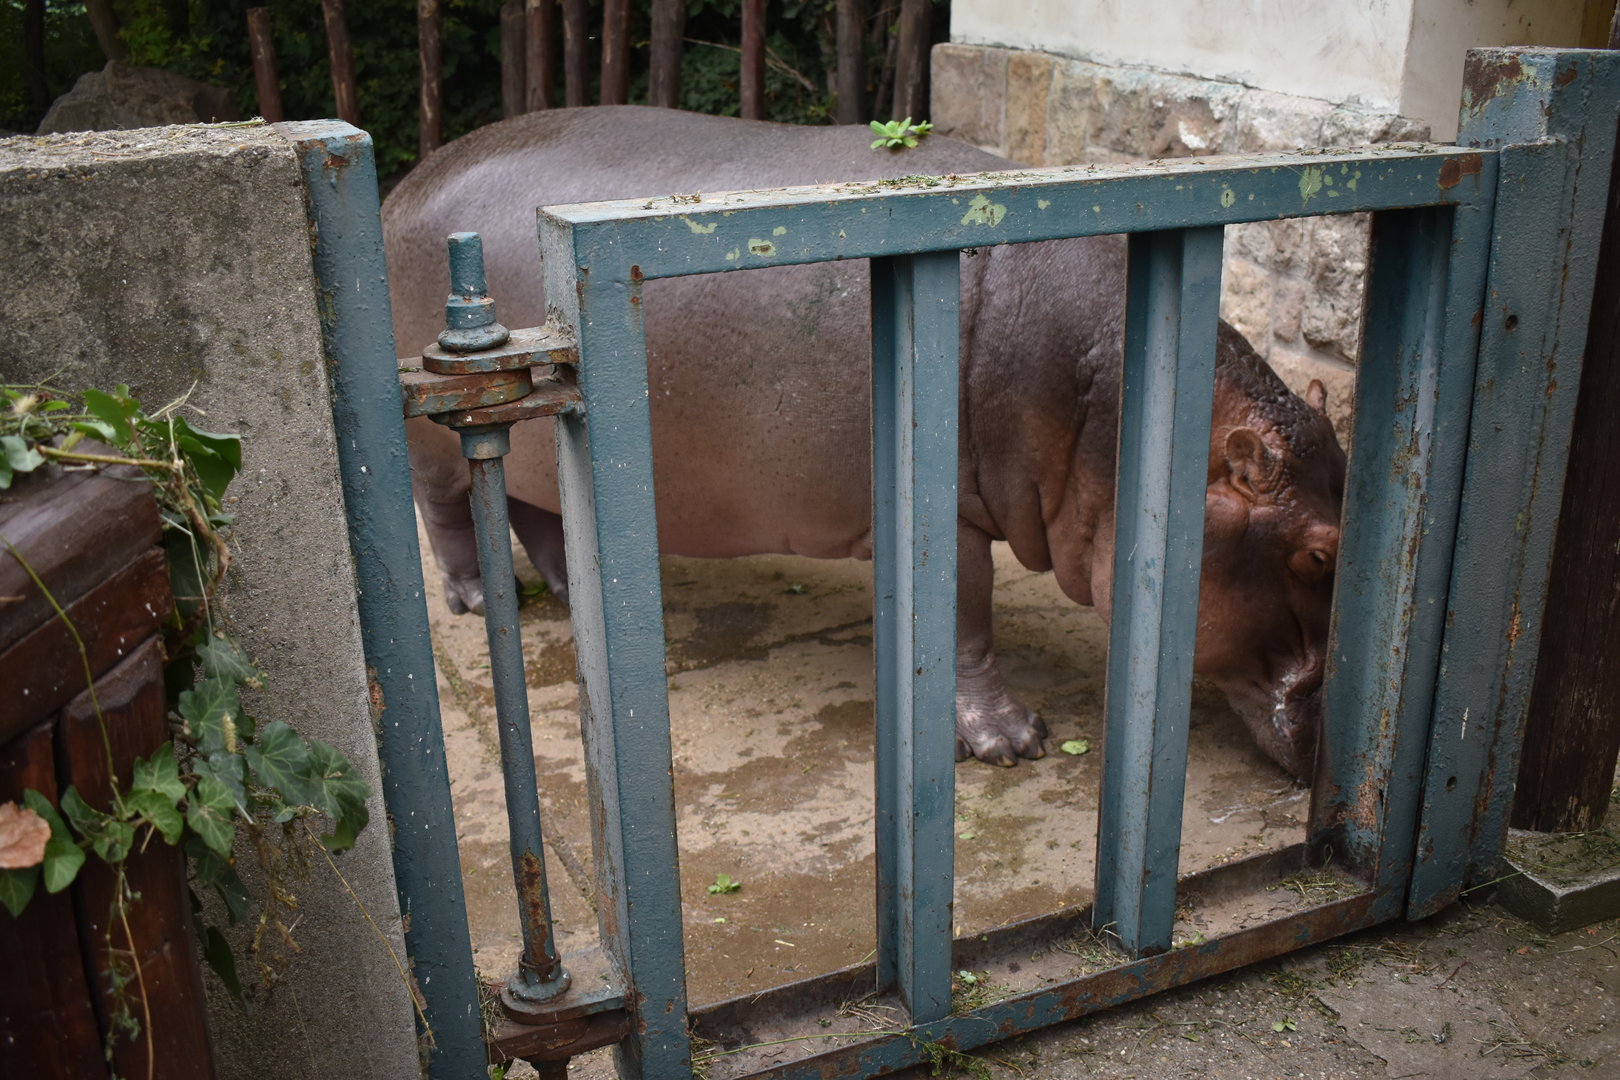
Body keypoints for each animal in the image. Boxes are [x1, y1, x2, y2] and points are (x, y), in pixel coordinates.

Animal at [382, 106, 1346, 779]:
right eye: (1322, 554)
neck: (1121, 395)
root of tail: (404, 185)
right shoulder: (947, 517)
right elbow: (965, 627)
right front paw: (1013, 744)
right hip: (442, 438)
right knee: (445, 514)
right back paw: (485, 599)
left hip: (545, 440)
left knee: (540, 513)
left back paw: (560, 591)